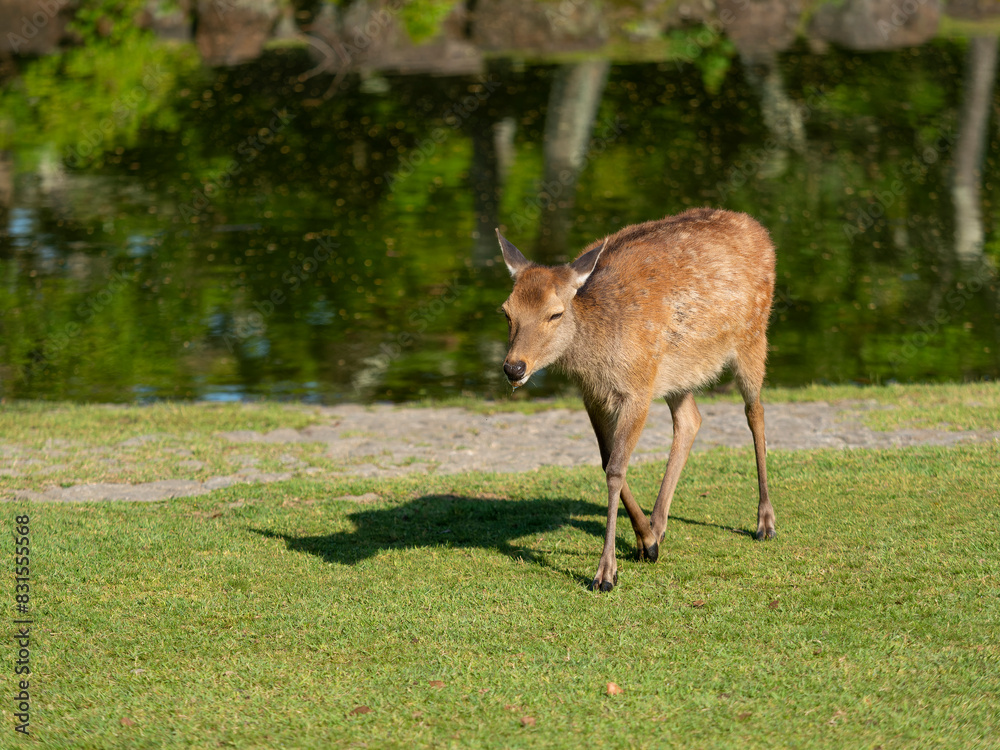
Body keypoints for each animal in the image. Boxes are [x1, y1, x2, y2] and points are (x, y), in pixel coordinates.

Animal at [496, 207, 776, 592]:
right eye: (506, 311)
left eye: (555, 313)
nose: (513, 367)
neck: (596, 358)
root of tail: (759, 229)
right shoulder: (594, 395)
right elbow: (607, 460)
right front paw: (646, 541)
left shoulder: (638, 389)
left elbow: (616, 468)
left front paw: (605, 574)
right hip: (676, 373)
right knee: (691, 419)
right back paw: (658, 527)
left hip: (753, 335)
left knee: (755, 411)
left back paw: (765, 522)